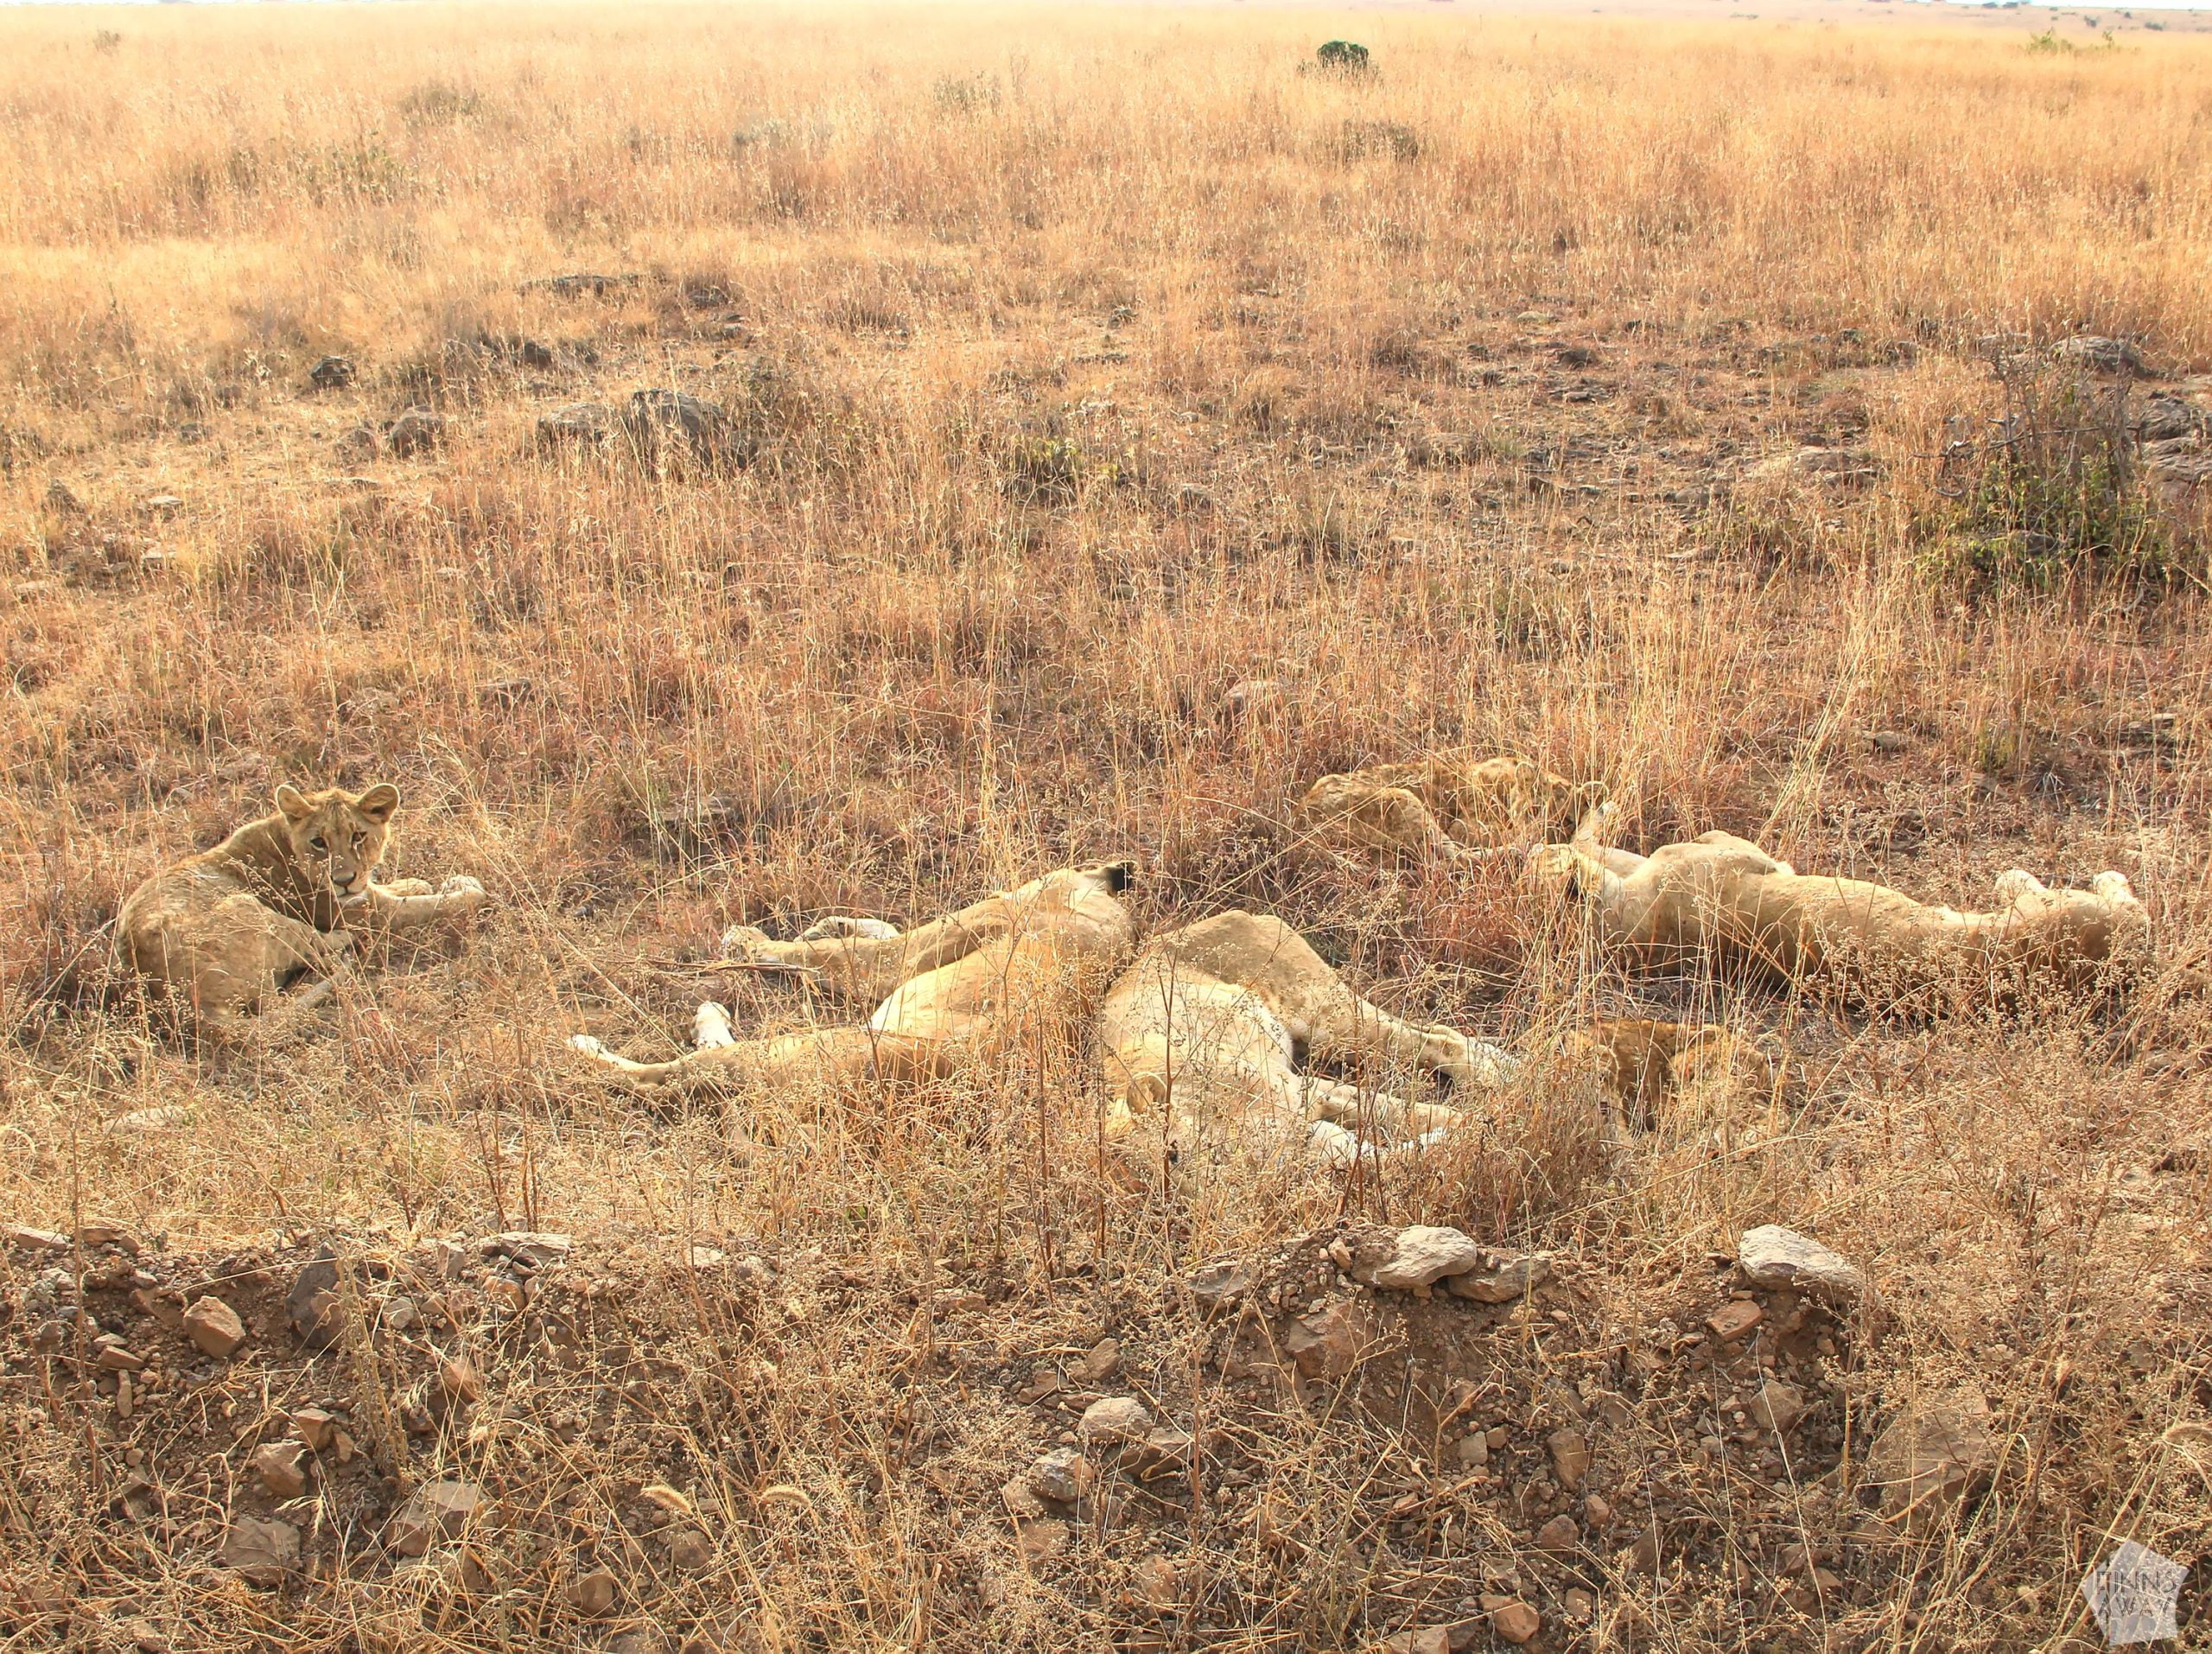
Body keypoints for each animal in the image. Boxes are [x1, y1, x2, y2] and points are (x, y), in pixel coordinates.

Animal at [115, 783, 488, 1036]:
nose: (343, 881)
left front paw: (417, 882)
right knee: (311, 957)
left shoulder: (366, 896)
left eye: (358, 836)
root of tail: (183, 1008)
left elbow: (401, 889)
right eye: (319, 842)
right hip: (253, 910)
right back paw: (342, 951)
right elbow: (433, 905)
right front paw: (465, 886)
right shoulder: (369, 913)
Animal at [569, 862, 1137, 1094]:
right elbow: (866, 935)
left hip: (799, 1047)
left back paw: (588, 1047)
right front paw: (831, 923)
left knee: (660, 1075)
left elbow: (830, 953)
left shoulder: (912, 955)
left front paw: (746, 939)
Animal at [1300, 750, 1608, 864]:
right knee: (1451, 858)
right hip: (1405, 800)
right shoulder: (1461, 825)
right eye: (1534, 810)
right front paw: (1527, 843)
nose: (1544, 836)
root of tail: (1301, 816)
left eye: (1567, 821)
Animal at [1531, 804, 2150, 999]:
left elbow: (1598, 843)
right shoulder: (1740, 857)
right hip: (2072, 910)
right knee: (2129, 903)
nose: (1525, 851)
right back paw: (2034, 876)